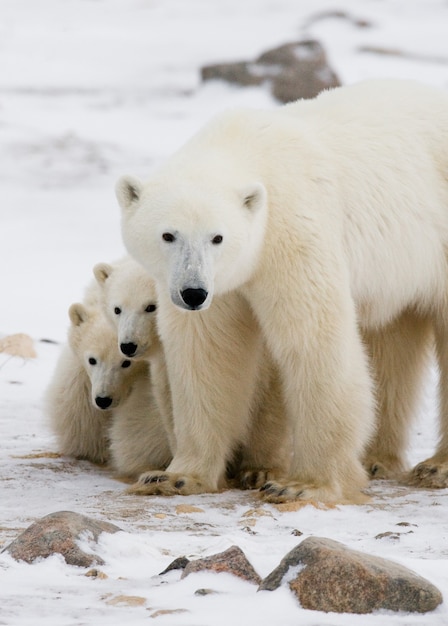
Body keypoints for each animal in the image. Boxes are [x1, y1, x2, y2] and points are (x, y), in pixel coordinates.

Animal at [114, 80, 448, 502]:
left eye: (217, 237)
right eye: (168, 235)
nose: (193, 293)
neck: (248, 152)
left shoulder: (291, 231)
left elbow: (312, 340)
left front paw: (302, 484)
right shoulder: (222, 287)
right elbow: (206, 354)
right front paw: (175, 476)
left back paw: (436, 466)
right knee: (392, 339)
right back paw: (377, 459)